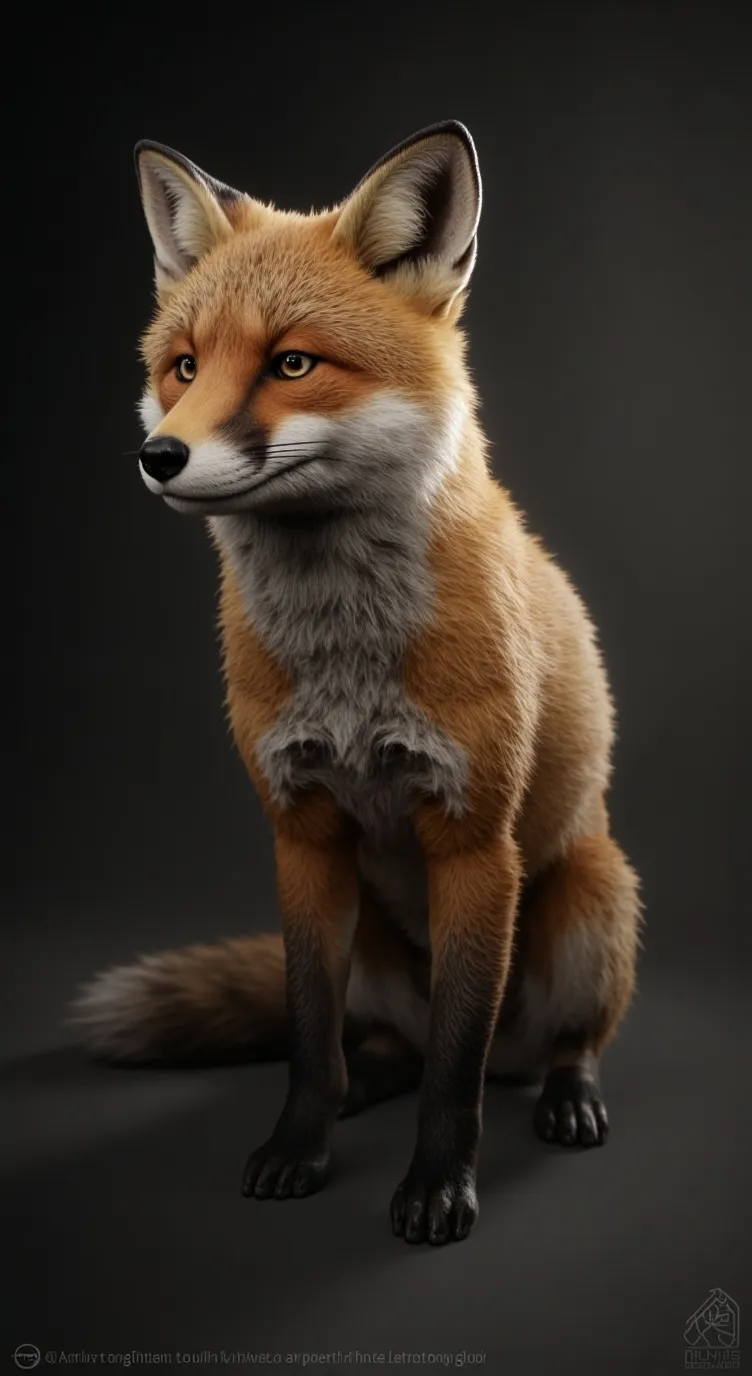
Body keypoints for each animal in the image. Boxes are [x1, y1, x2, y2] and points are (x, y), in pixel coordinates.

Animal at [76, 121, 641, 1246]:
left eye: (292, 363)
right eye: (184, 367)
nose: (158, 455)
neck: (346, 660)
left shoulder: (474, 840)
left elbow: (456, 1075)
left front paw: (438, 1187)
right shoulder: (301, 833)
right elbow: (306, 1037)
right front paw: (298, 1148)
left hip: (590, 899)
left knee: (529, 1048)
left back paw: (565, 1092)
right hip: (374, 942)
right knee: (383, 1046)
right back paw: (365, 1082)